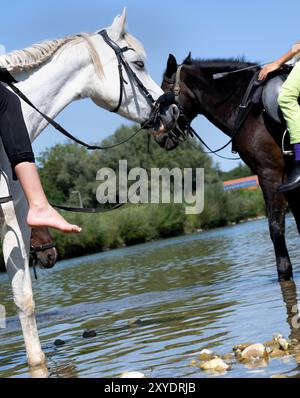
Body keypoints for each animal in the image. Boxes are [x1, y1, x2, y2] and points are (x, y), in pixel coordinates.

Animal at [158, 53, 298, 282]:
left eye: (163, 95)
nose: (160, 137)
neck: (246, 107)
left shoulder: (270, 174)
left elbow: (276, 227)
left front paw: (284, 272)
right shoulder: (287, 178)